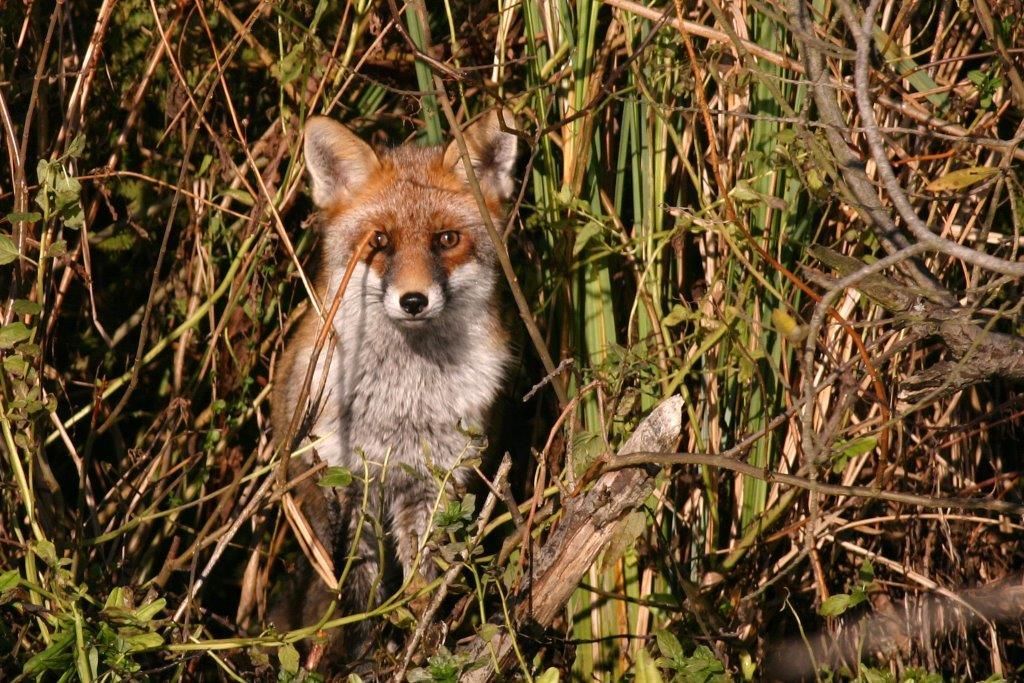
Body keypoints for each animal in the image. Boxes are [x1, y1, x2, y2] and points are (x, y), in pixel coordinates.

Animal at [269, 109, 517, 665]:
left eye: (447, 240)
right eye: (379, 242)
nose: (413, 300)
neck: (403, 402)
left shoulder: (435, 485)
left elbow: (422, 585)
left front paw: (419, 649)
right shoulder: (345, 482)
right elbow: (357, 594)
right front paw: (357, 659)